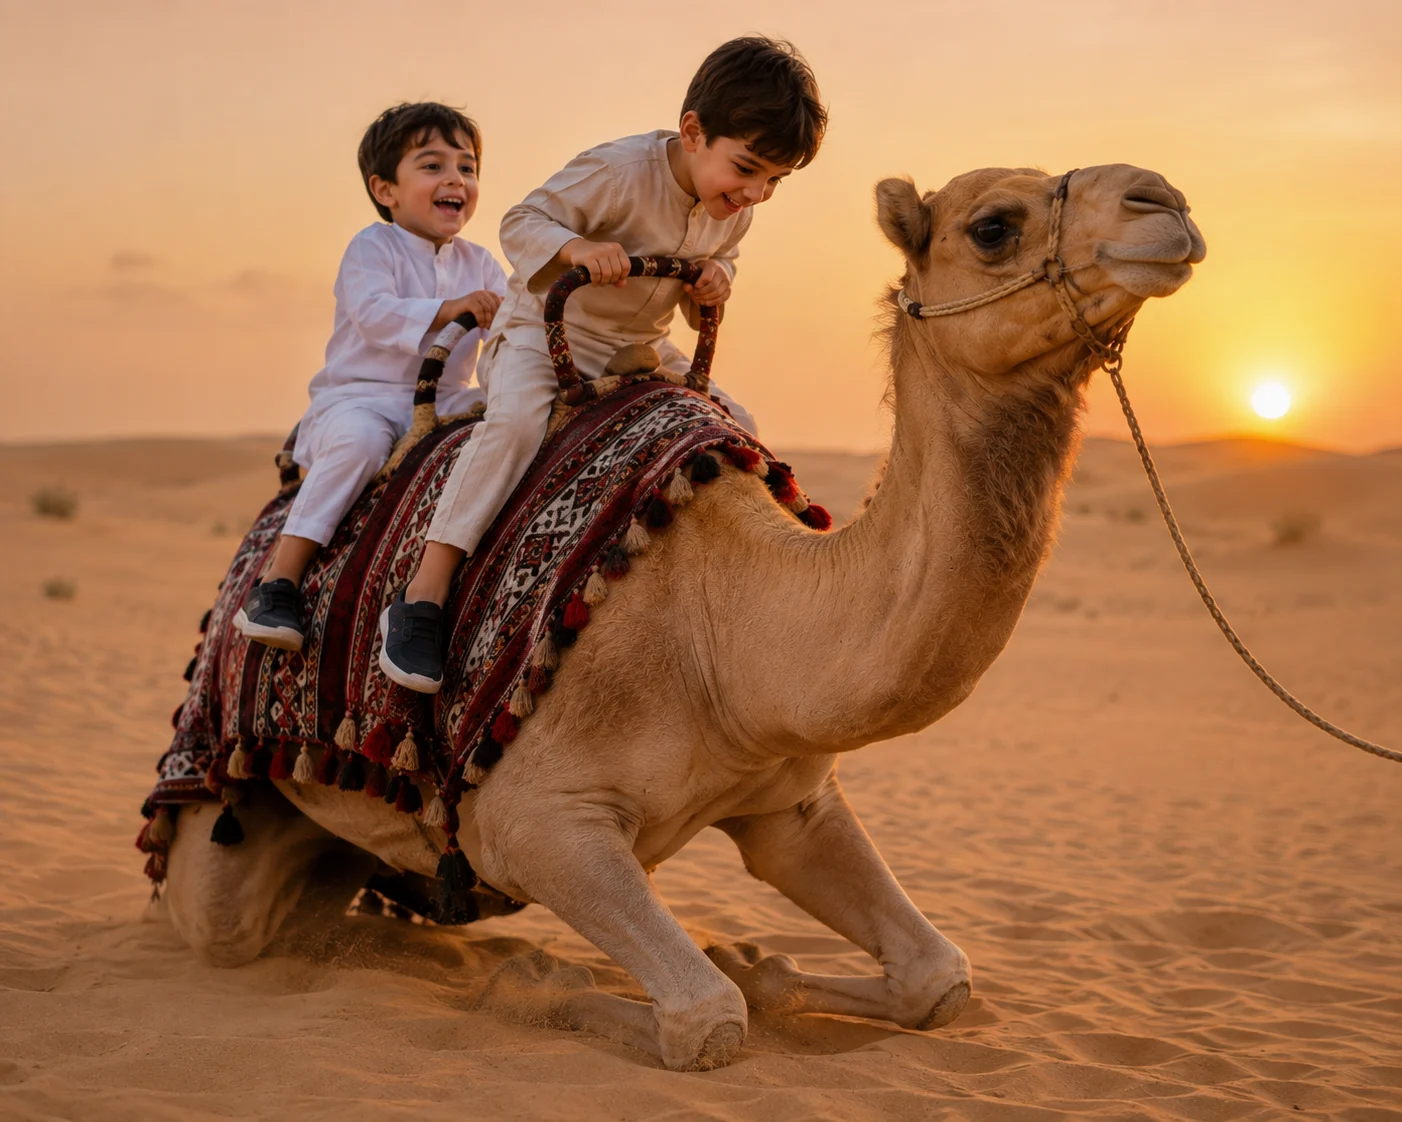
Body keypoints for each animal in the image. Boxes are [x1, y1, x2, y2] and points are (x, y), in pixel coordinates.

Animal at [160, 162, 1206, 1071]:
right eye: (994, 226)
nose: (1167, 201)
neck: (728, 631)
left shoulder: (790, 803)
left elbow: (937, 978)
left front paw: (761, 960)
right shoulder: (533, 820)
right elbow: (705, 1020)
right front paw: (537, 981)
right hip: (222, 805)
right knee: (229, 922)